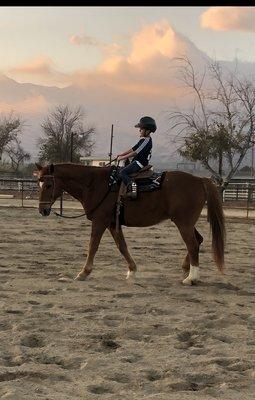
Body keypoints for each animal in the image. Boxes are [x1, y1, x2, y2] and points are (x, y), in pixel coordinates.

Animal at [35, 162, 225, 284]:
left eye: (49, 185)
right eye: (39, 183)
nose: (43, 210)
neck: (95, 184)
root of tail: (200, 180)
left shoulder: (100, 221)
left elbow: (93, 246)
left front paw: (84, 273)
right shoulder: (113, 224)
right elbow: (122, 246)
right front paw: (132, 271)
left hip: (183, 223)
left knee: (192, 244)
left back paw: (192, 278)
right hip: (187, 223)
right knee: (198, 240)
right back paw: (186, 269)